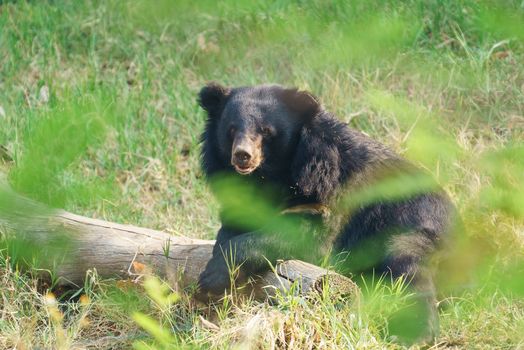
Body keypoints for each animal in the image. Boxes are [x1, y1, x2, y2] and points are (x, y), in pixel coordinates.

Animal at [196, 82, 454, 342]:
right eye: (231, 129)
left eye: (266, 131)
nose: (242, 155)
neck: (270, 175)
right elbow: (234, 225)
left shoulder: (327, 191)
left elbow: (309, 237)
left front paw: (211, 278)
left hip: (415, 227)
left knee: (409, 270)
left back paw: (414, 334)